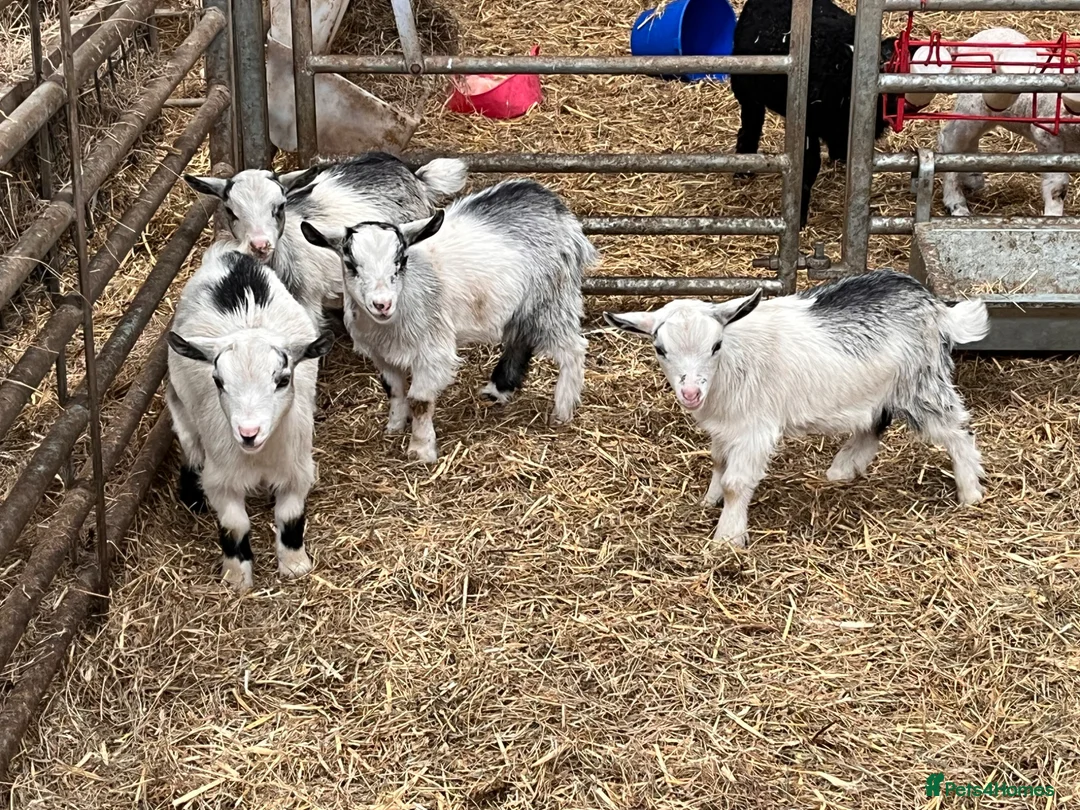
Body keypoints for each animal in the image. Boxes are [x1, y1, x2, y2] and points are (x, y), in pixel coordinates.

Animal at [166, 241, 333, 591]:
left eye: (283, 380)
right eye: (218, 381)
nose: (248, 432)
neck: (260, 458)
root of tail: (231, 255)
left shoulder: (297, 468)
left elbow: (290, 516)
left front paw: (295, 565)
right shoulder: (222, 478)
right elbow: (234, 525)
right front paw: (236, 576)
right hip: (179, 399)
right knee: (189, 440)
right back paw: (191, 493)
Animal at [301, 178, 595, 463]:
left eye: (401, 260)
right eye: (350, 264)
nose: (382, 304)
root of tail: (556, 207)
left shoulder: (432, 352)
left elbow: (420, 401)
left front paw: (420, 451)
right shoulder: (381, 355)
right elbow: (394, 391)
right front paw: (394, 427)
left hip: (551, 300)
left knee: (572, 348)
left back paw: (562, 411)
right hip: (522, 306)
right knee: (520, 339)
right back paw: (498, 390)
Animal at [605, 271, 989, 549]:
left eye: (716, 345)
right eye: (660, 349)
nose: (690, 393)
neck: (732, 363)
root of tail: (935, 306)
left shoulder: (754, 428)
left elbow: (736, 482)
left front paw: (727, 539)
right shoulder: (725, 425)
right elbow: (718, 463)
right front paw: (709, 500)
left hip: (922, 384)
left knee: (958, 429)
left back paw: (970, 492)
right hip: (881, 389)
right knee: (874, 423)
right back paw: (843, 469)